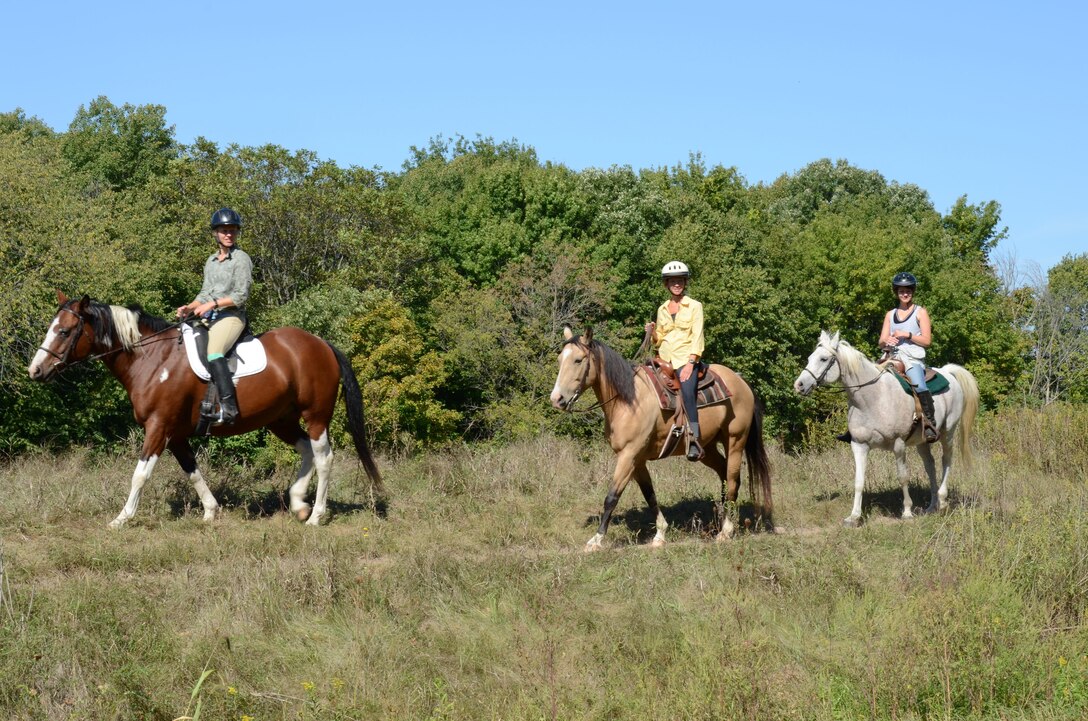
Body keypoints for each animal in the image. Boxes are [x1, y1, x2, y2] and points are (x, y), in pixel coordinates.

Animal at [27, 293, 382, 530]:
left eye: (64, 331)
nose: (35, 371)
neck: (152, 359)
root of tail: (322, 345)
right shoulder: (175, 435)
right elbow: (192, 470)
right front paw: (211, 511)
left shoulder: (158, 427)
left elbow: (140, 474)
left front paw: (122, 518)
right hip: (280, 419)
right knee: (307, 450)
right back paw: (298, 503)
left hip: (315, 415)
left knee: (323, 458)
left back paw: (317, 515)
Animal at [548, 326, 770, 552]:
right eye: (559, 360)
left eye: (578, 360)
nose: (556, 399)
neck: (628, 400)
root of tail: (741, 381)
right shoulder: (637, 460)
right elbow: (650, 495)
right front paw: (660, 534)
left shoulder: (628, 456)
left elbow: (611, 497)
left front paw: (596, 540)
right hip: (707, 449)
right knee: (724, 476)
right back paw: (722, 521)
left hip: (735, 441)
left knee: (733, 480)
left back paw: (726, 531)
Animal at [792, 330, 979, 524]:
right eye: (809, 358)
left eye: (823, 359)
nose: (799, 385)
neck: (872, 398)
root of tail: (948, 372)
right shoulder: (859, 445)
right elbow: (859, 481)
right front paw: (854, 516)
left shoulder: (899, 444)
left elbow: (902, 477)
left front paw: (907, 512)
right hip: (922, 441)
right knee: (930, 465)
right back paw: (932, 506)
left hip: (947, 432)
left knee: (946, 459)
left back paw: (942, 501)